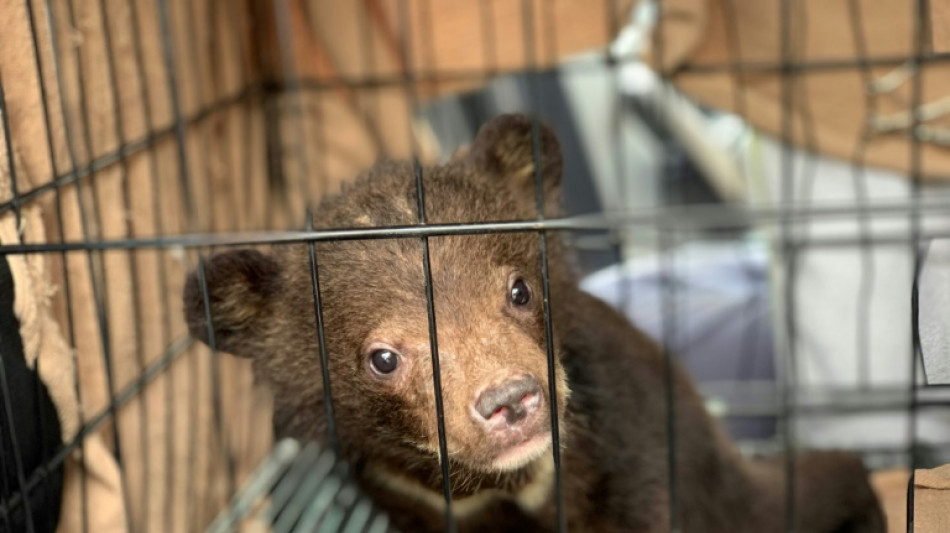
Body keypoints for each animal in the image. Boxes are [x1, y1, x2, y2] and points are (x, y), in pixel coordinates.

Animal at [183, 114, 885, 532]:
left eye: (518, 290)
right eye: (382, 357)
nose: (512, 401)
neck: (515, 482)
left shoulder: (634, 444)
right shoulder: (410, 499)